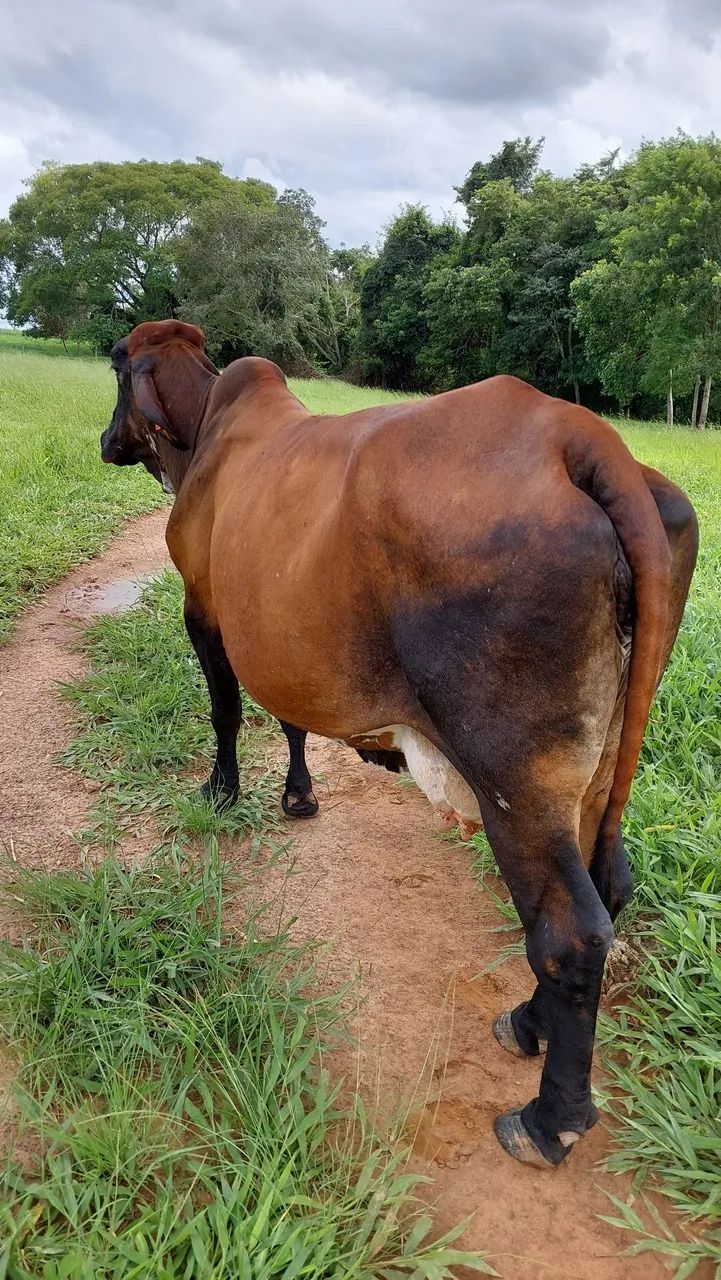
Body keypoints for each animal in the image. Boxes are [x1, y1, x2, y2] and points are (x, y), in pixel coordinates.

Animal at [100, 319, 698, 1169]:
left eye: (117, 367)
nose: (106, 441)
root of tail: (577, 434)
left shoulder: (204, 606)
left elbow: (226, 710)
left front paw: (221, 791)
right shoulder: (284, 639)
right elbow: (290, 717)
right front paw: (298, 794)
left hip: (515, 778)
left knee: (570, 932)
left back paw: (548, 1117)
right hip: (603, 766)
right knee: (607, 883)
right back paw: (527, 1023)